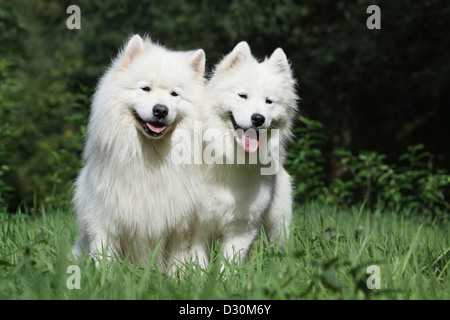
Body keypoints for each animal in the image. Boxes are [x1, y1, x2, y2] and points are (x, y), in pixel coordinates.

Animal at [72, 35, 206, 270]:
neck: (151, 156)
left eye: (174, 94)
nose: (161, 110)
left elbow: (177, 264)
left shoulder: (180, 227)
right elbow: (105, 258)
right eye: (145, 88)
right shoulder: (105, 222)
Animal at [193, 41, 298, 268]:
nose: (258, 119)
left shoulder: (242, 228)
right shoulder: (194, 227)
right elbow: (196, 263)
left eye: (269, 101)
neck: (228, 158)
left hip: (278, 225)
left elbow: (229, 265)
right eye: (242, 96)